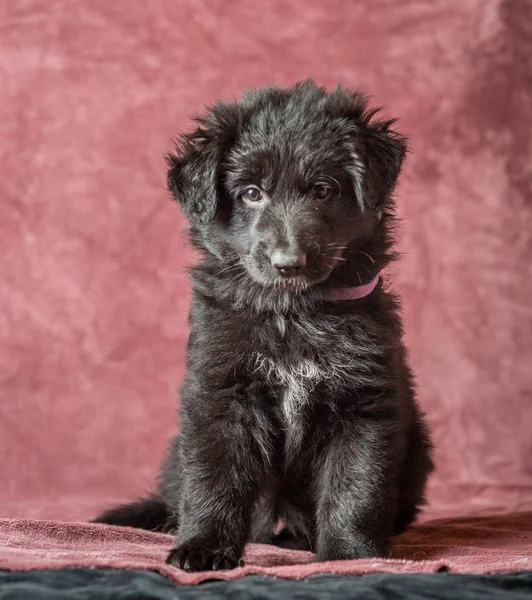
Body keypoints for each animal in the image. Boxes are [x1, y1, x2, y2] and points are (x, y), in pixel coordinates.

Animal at [95, 81, 434, 572]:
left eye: (322, 190)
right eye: (252, 193)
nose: (288, 263)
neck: (292, 315)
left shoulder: (364, 403)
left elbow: (356, 484)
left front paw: (350, 555)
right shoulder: (220, 393)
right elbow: (214, 478)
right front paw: (202, 548)